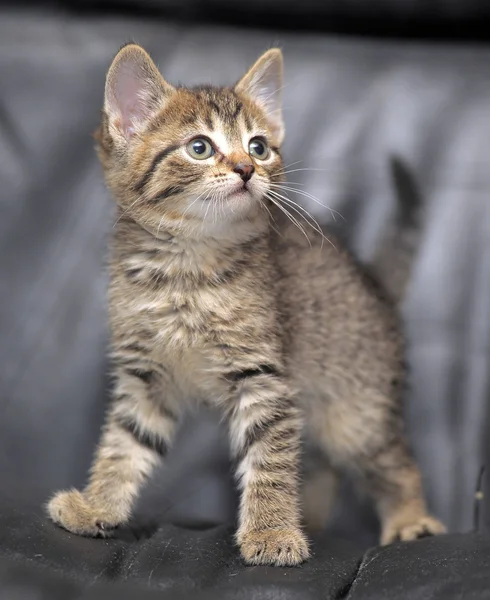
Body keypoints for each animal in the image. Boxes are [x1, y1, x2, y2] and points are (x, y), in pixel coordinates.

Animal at [47, 44, 446, 564]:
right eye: (200, 147)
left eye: (259, 147)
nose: (246, 169)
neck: (185, 270)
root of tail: (374, 284)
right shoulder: (146, 376)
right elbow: (124, 444)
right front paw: (97, 505)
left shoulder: (263, 375)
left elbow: (270, 459)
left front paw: (272, 532)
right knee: (321, 467)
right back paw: (314, 521)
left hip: (357, 410)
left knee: (394, 462)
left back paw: (409, 519)